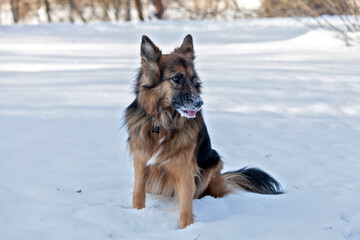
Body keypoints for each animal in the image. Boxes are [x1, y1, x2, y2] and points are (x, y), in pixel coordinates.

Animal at [125, 33, 282, 229]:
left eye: (194, 79)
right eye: (177, 78)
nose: (199, 103)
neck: (162, 123)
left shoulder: (185, 169)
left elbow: (186, 206)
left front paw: (186, 229)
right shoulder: (141, 161)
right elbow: (138, 194)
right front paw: (137, 213)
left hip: (213, 165)